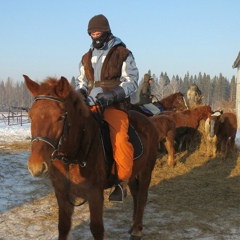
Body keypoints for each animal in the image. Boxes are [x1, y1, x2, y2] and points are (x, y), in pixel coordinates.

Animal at [23, 75, 159, 240]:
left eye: (60, 117)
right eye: (31, 116)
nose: (36, 166)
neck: (72, 158)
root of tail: (148, 121)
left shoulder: (95, 194)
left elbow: (96, 228)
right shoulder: (62, 193)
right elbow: (63, 227)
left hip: (146, 170)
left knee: (142, 196)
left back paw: (137, 230)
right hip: (133, 172)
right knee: (135, 194)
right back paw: (133, 225)